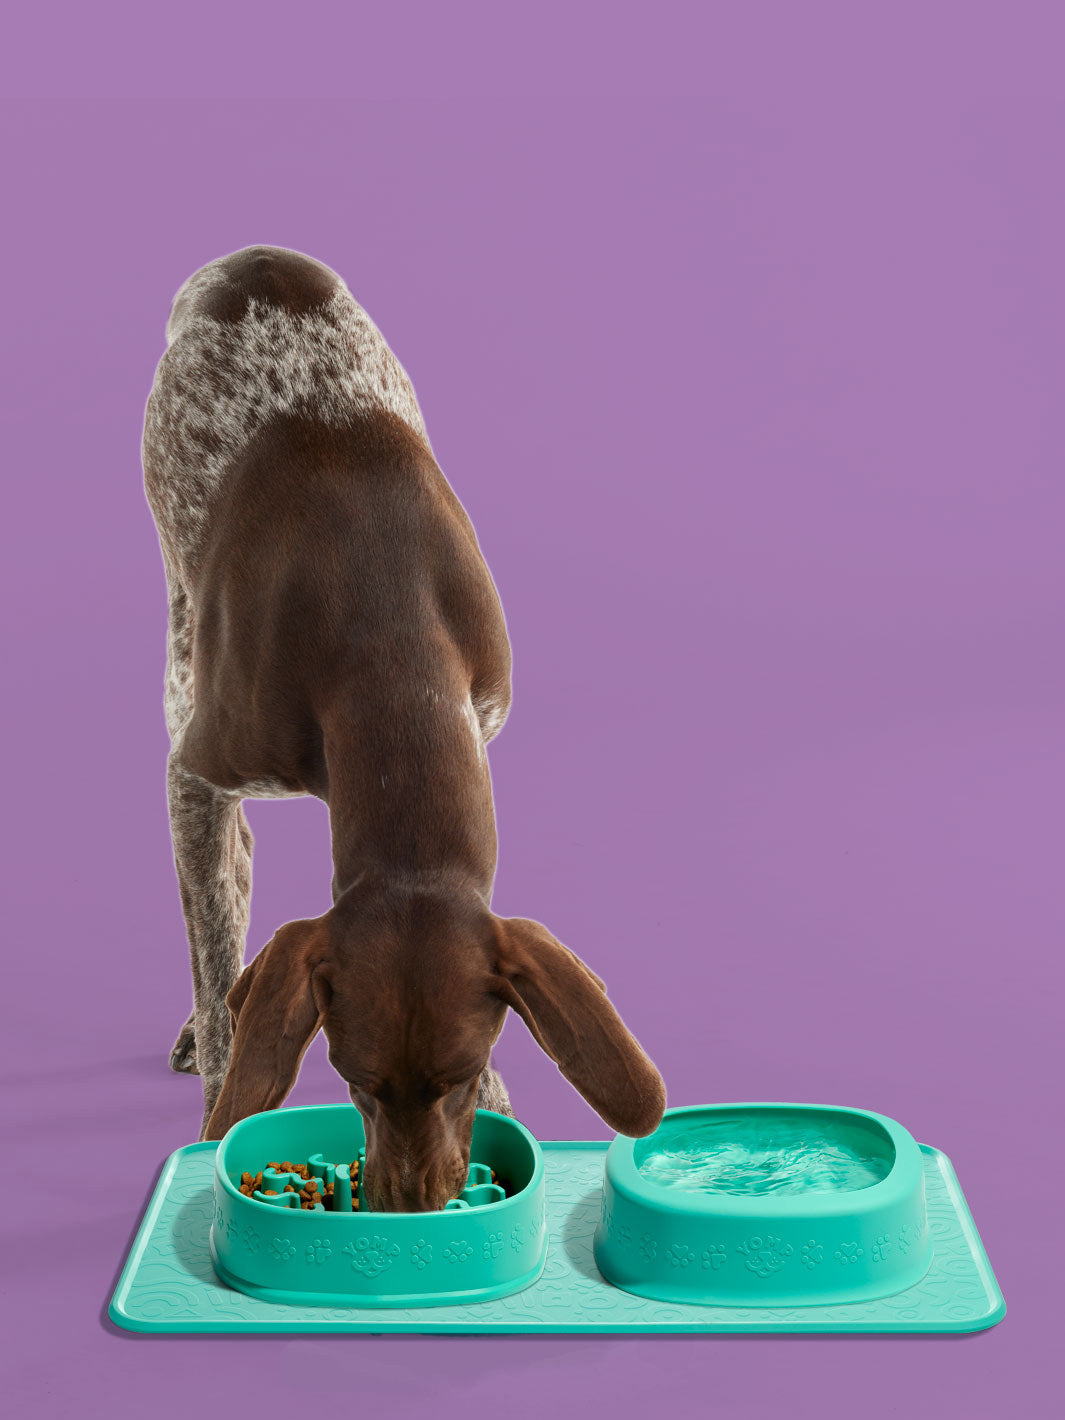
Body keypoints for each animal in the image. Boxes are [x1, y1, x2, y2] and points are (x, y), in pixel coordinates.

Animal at [138, 244, 664, 1209]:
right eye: (352, 1080)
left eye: (459, 1075)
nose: (412, 1207)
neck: (389, 650)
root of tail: (256, 261)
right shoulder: (194, 769)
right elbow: (213, 945)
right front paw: (216, 1104)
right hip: (180, 620)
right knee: (221, 881)